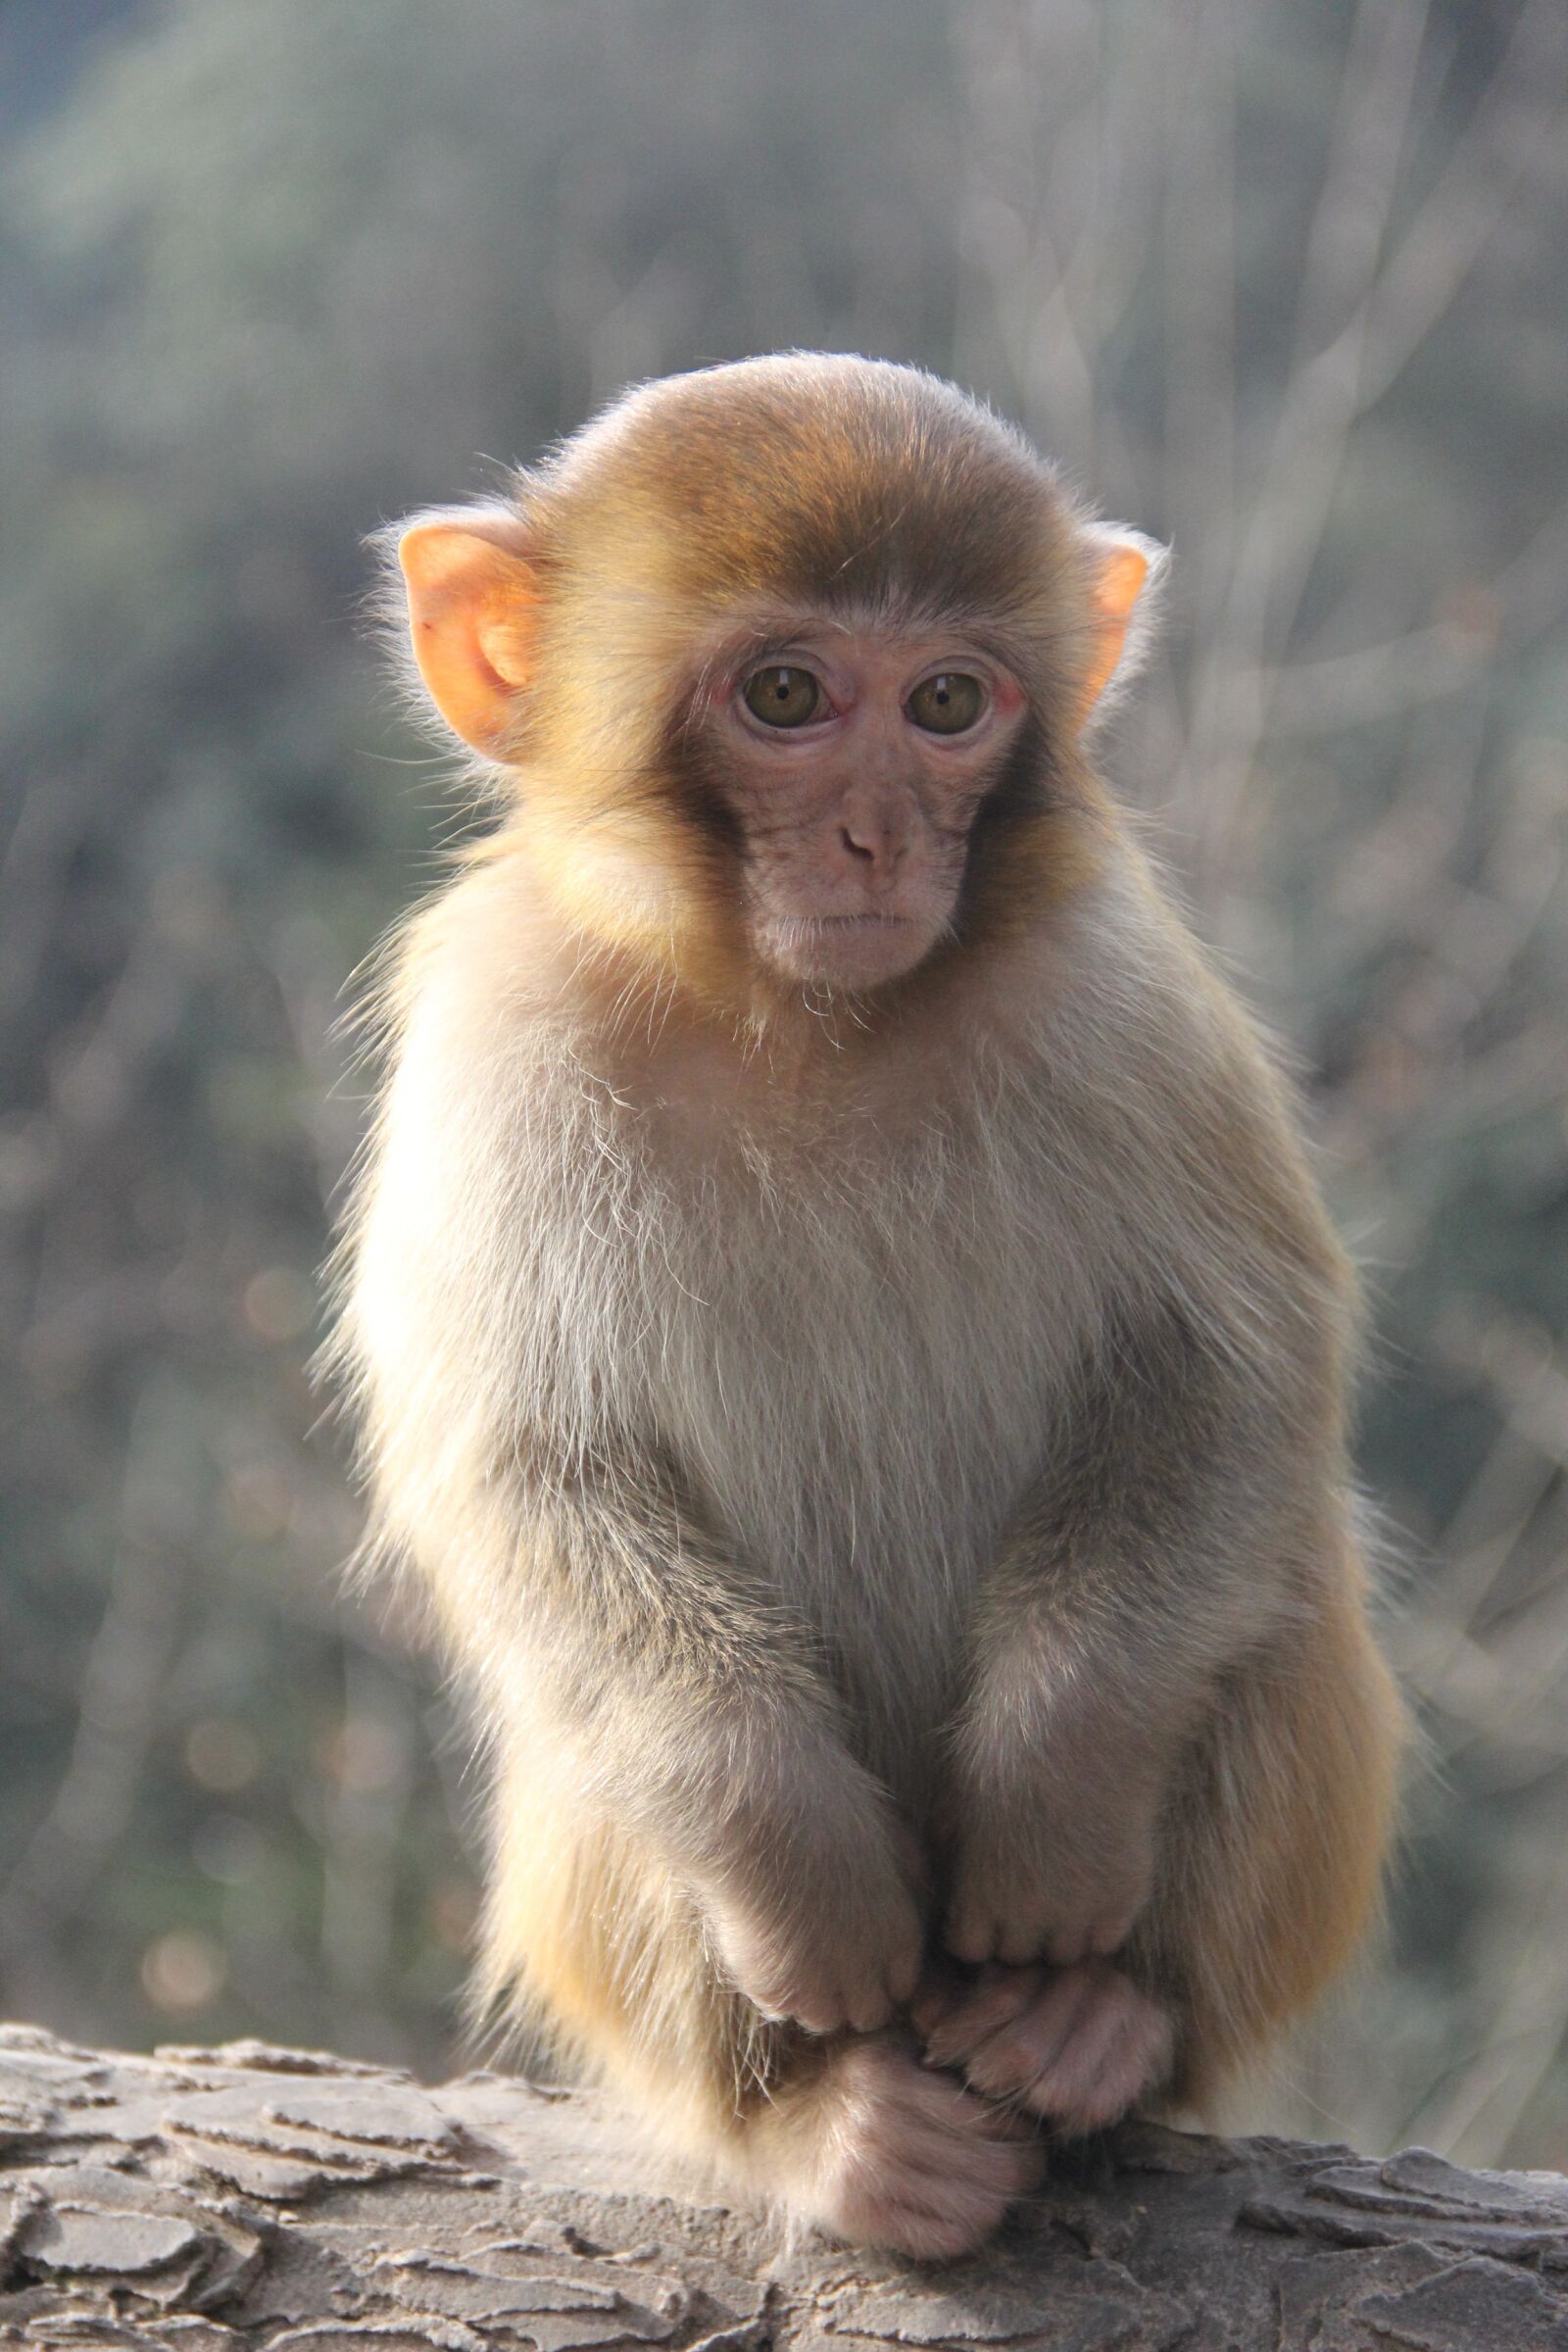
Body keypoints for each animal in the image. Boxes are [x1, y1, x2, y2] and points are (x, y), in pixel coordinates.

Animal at [330, 353, 1403, 2261]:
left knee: (1272, 1573)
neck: (804, 1022)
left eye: (950, 702)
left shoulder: (1115, 988)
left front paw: (1053, 1804)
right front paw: (793, 1861)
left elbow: (1237, 1378)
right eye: (786, 696)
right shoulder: (499, 1027)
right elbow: (526, 1470)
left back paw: (1096, 2022)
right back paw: (824, 2125)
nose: (876, 835)